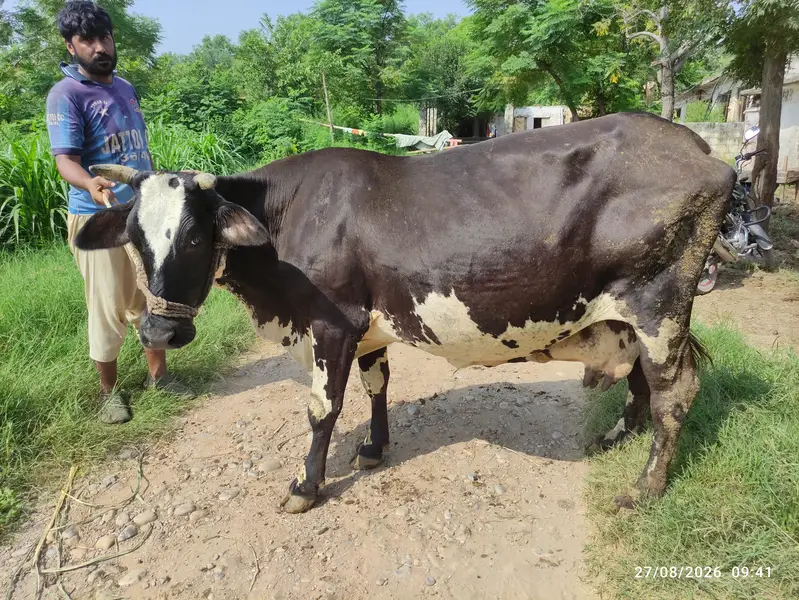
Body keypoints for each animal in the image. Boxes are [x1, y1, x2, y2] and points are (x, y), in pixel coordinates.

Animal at [74, 112, 735, 514]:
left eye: (194, 236)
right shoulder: (367, 328)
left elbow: (322, 410)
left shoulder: (331, 323)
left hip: (660, 306)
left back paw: (645, 487)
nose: (159, 327)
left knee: (674, 393)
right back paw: (616, 437)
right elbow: (378, 386)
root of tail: (699, 146)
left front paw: (305, 485)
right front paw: (373, 447)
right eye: (134, 237)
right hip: (635, 319)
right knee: (643, 383)